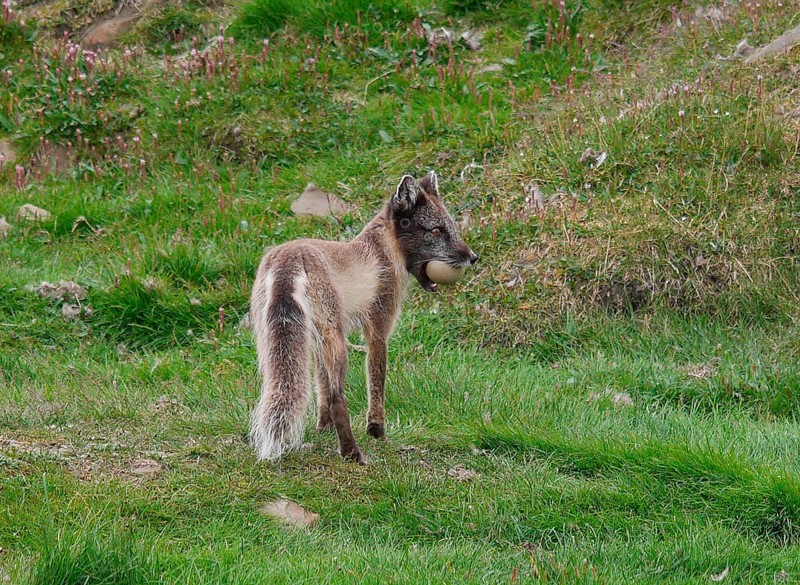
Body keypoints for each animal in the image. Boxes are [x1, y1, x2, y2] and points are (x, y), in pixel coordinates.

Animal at [249, 171, 478, 464]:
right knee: (339, 398)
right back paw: (352, 453)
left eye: (452, 227)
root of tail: (288, 257)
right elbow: (376, 385)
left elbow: (322, 392)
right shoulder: (378, 331)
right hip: (338, 344)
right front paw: (377, 430)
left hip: (276, 346)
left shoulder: (317, 344)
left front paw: (322, 429)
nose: (473, 257)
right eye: (437, 230)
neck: (383, 250)